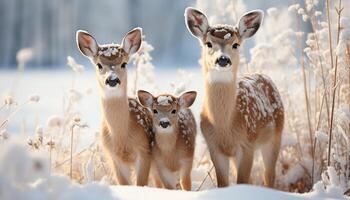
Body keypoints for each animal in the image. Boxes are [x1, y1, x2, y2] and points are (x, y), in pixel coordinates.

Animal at [76, 28, 154, 186]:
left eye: (124, 63)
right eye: (99, 65)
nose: (112, 79)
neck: (122, 139)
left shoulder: (144, 151)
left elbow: (141, 183)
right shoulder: (114, 157)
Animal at [183, 7, 284, 188]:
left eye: (235, 44)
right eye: (209, 43)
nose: (223, 59)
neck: (226, 127)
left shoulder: (247, 144)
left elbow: (242, 181)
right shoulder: (214, 147)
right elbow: (224, 183)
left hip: (276, 135)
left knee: (269, 175)